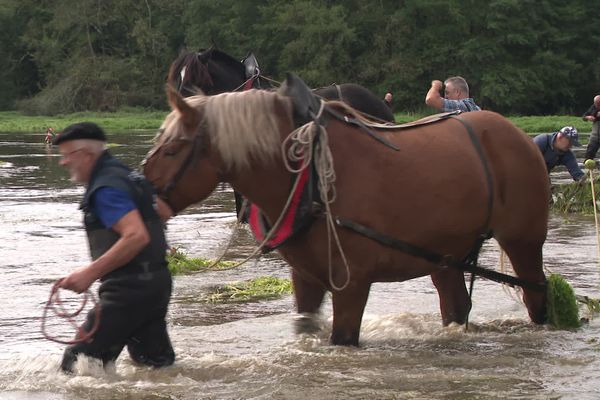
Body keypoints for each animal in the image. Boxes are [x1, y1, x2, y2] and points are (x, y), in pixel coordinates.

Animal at [143, 80, 552, 344]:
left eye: (173, 149)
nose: (141, 193)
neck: (309, 178)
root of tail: (518, 135)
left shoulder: (352, 283)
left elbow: (342, 338)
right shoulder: (305, 278)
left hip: (524, 242)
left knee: (537, 297)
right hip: (446, 255)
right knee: (456, 306)